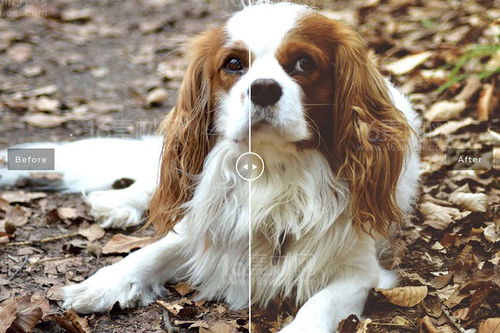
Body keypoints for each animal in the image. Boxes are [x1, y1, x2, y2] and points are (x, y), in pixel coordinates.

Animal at [0, 1, 422, 330]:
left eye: (304, 63)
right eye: (233, 64)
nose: (263, 89)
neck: (272, 170)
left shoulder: (360, 270)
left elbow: (319, 307)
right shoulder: (206, 221)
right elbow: (151, 252)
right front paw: (103, 283)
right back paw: (119, 203)